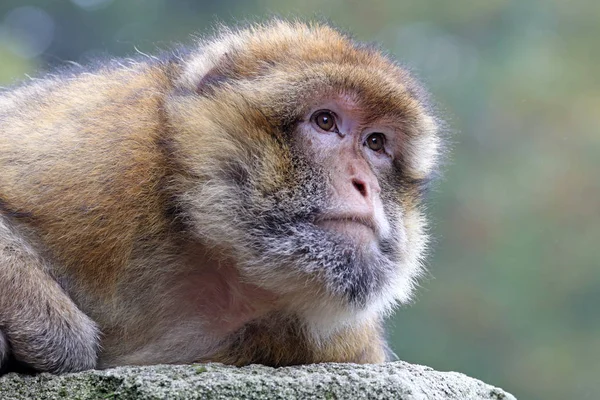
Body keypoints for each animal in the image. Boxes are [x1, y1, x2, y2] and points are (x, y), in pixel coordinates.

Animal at [0, 20, 440, 374]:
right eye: (326, 121)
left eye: (376, 143)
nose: (364, 183)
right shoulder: (107, 156)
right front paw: (56, 333)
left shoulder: (342, 346)